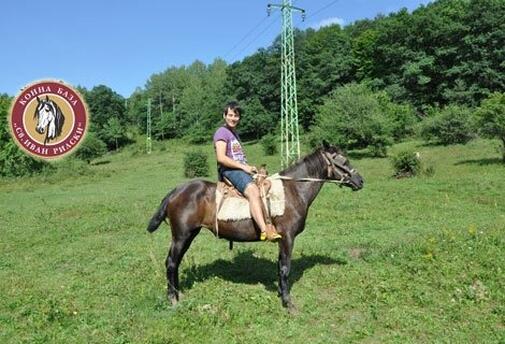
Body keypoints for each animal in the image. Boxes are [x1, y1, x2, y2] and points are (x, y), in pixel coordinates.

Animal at [146, 141, 362, 310]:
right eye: (343, 161)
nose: (360, 180)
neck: (292, 190)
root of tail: (176, 191)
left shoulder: (283, 240)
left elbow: (279, 266)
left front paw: (281, 294)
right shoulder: (288, 237)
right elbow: (285, 268)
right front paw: (288, 303)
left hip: (189, 234)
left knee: (175, 263)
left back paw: (178, 294)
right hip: (181, 235)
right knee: (171, 263)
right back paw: (173, 299)